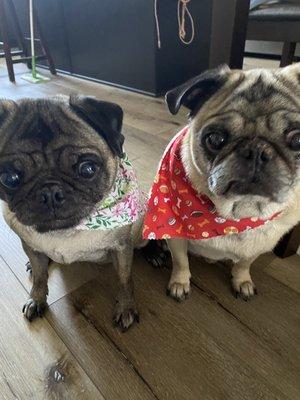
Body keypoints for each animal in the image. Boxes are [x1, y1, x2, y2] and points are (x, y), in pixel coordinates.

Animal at [0, 95, 145, 330]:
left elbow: (124, 279)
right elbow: (39, 277)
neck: (67, 232)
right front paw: (36, 298)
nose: (50, 192)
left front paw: (125, 307)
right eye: (9, 178)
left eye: (87, 169)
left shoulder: (121, 247)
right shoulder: (29, 245)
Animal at [143, 62, 300, 300]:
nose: (256, 151)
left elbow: (244, 264)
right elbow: (181, 262)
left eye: (298, 140)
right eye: (215, 139)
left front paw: (242, 281)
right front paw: (179, 283)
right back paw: (155, 255)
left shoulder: (256, 247)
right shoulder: (176, 238)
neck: (236, 214)